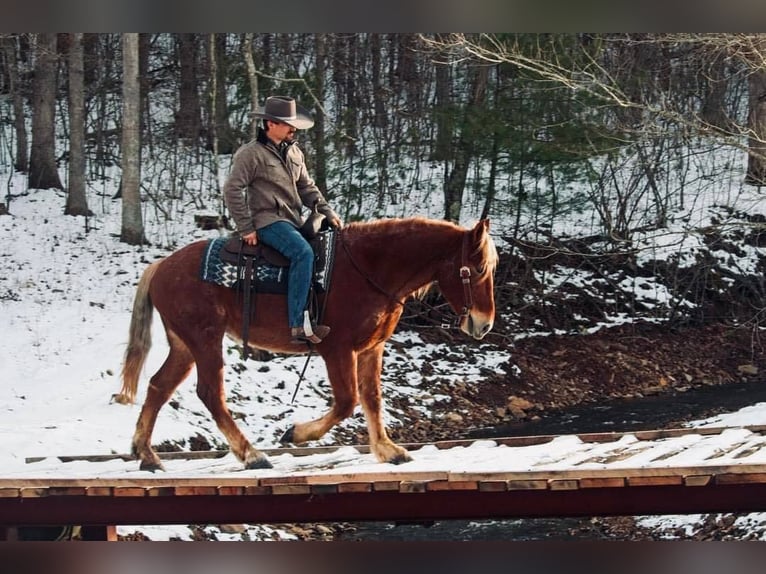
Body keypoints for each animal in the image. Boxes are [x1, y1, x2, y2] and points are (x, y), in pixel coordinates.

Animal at [114, 218, 498, 470]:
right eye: (478, 269)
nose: (484, 323)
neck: (369, 269)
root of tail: (161, 266)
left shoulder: (372, 348)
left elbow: (372, 399)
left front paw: (388, 450)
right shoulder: (337, 349)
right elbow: (347, 401)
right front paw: (296, 434)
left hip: (184, 344)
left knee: (159, 386)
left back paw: (146, 454)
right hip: (205, 339)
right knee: (210, 393)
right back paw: (251, 455)